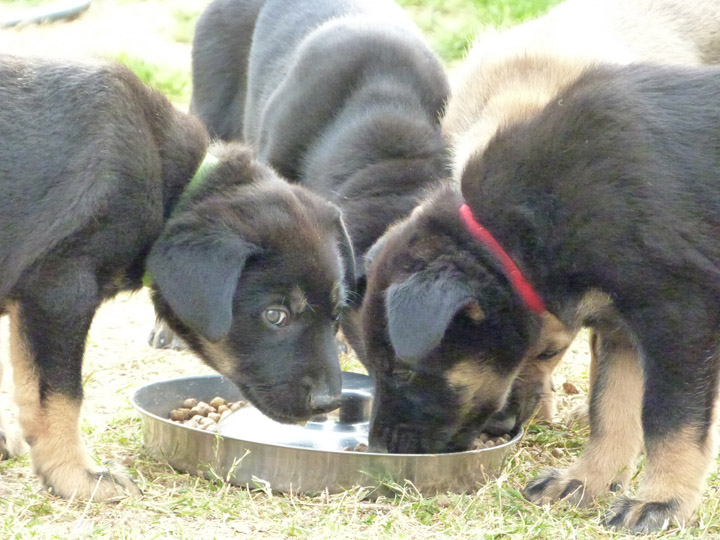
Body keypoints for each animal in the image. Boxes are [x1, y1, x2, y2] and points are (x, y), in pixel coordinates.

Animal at [0, 53, 352, 498]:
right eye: (276, 316)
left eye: (338, 314)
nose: (328, 404)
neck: (173, 188)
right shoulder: (60, 291)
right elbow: (59, 396)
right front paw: (78, 475)